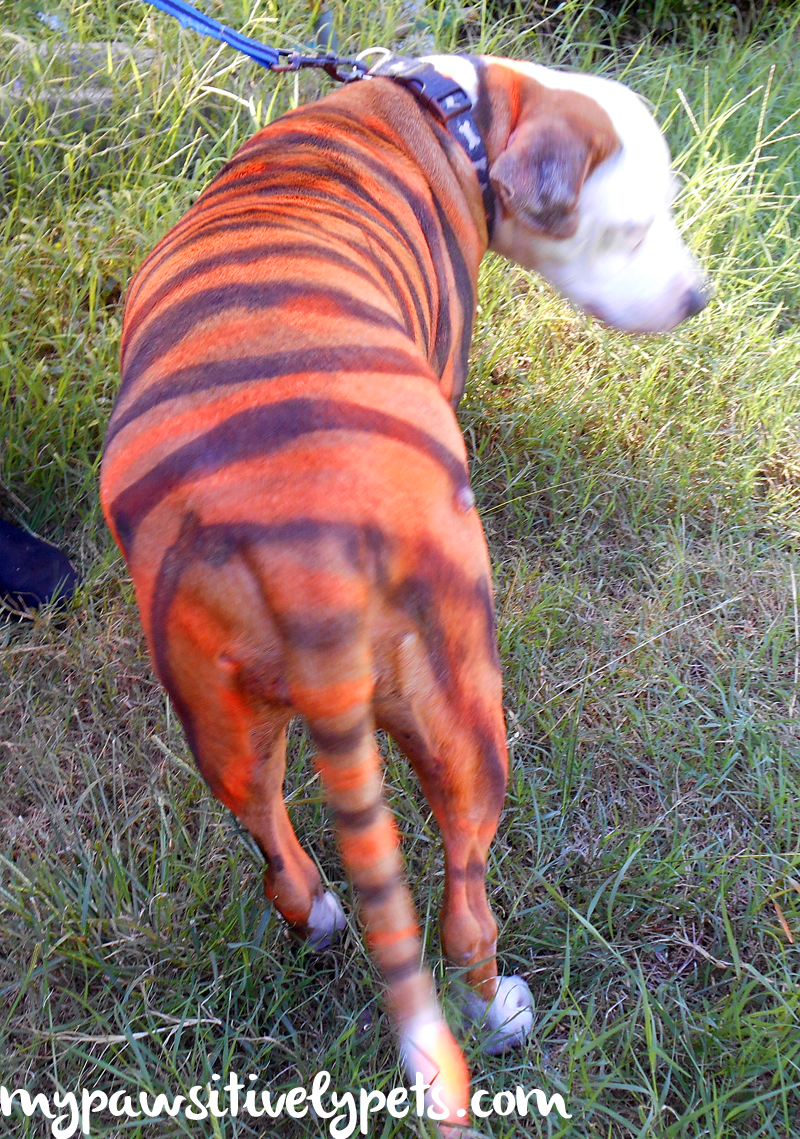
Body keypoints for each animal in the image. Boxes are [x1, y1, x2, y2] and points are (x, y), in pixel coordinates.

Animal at [101, 52, 707, 1131]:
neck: (459, 107)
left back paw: (316, 916)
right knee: (464, 899)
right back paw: (499, 1009)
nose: (698, 298)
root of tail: (304, 562)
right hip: (464, 708)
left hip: (217, 712)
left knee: (271, 836)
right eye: (635, 225)